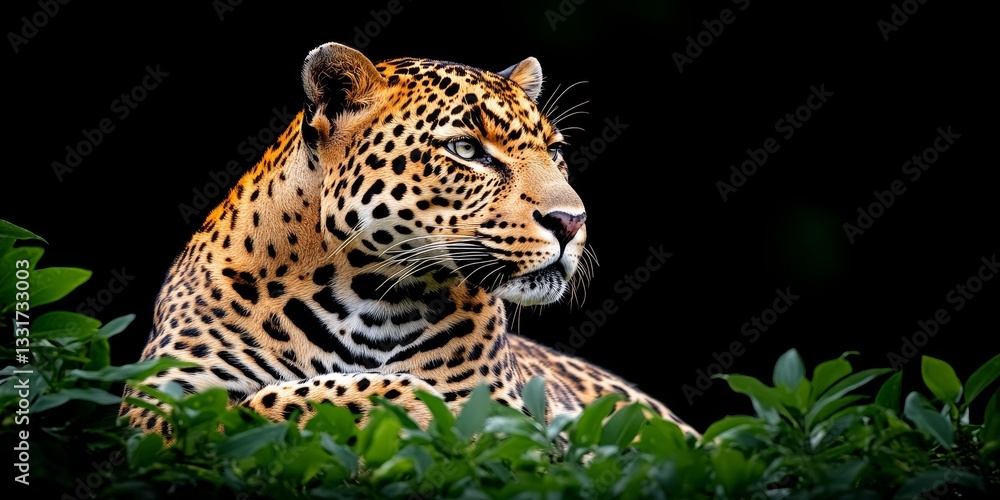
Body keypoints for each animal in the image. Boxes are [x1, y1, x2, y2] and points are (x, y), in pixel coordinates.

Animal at [118, 41, 697, 440]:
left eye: (554, 152)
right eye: (466, 149)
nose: (572, 221)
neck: (365, 298)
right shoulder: (155, 409)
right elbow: (257, 407)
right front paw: (420, 405)